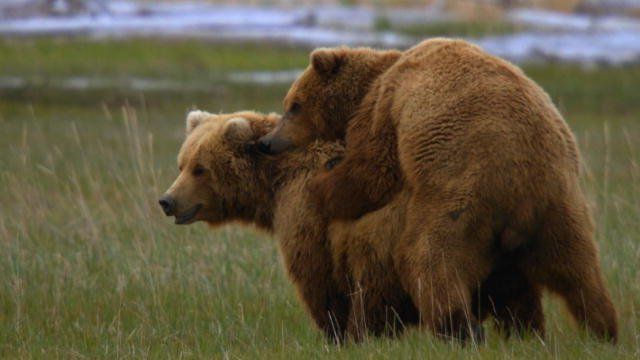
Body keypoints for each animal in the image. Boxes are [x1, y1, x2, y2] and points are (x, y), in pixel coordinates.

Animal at [158, 109, 544, 344]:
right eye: (182, 162)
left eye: (200, 168)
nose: (167, 200)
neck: (275, 182)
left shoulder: (309, 211)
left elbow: (318, 278)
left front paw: (334, 333)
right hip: (505, 249)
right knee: (519, 300)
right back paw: (525, 336)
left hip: (400, 235)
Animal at [258, 38, 616, 342]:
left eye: (294, 105)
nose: (267, 143)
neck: (373, 81)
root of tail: (522, 198)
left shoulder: (387, 104)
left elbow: (372, 169)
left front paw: (323, 183)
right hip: (560, 203)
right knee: (580, 270)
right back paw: (601, 330)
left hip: (462, 190)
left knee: (428, 258)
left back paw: (460, 329)